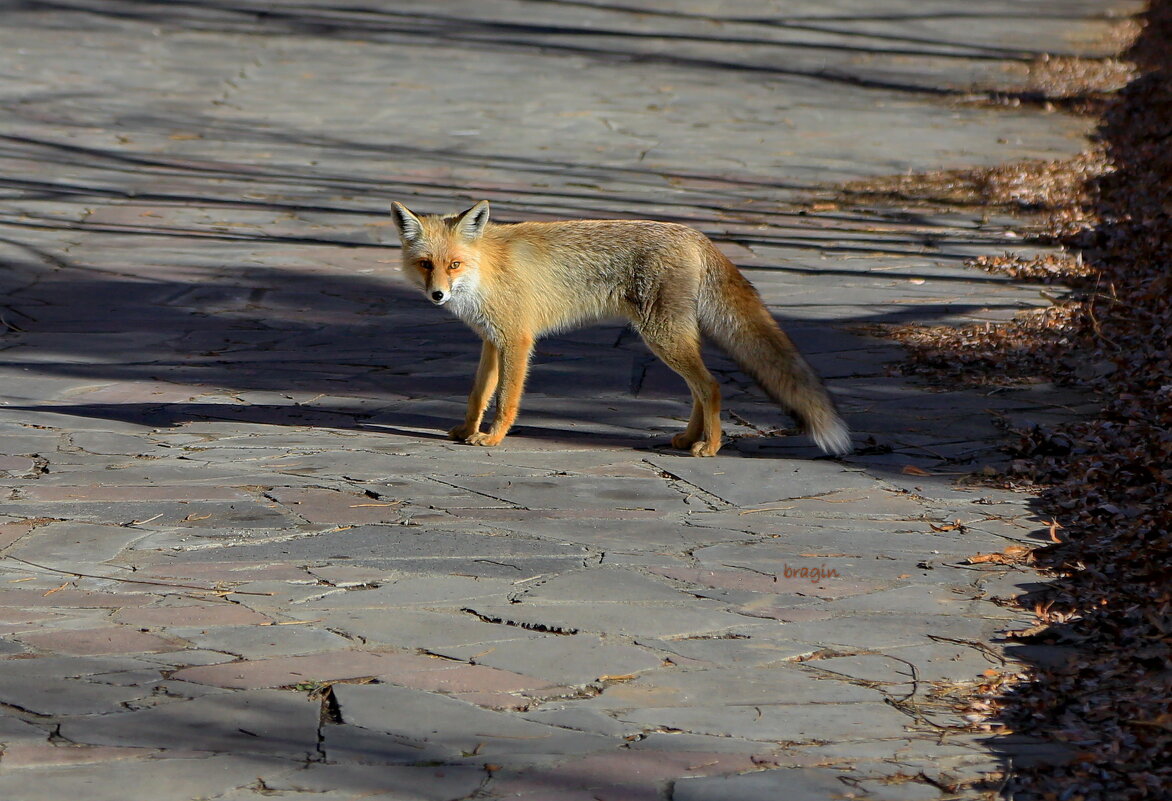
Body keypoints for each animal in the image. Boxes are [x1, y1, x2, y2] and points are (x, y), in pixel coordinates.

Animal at [389, 200, 848, 459]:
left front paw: (493, 437)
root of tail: (694, 232)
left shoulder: (517, 340)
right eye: (426, 264)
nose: (438, 295)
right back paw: (689, 438)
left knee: (712, 386)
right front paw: (467, 430)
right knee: (700, 389)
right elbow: (477, 394)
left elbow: (504, 400)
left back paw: (711, 447)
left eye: (454, 264)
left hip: (661, 335)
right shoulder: (491, 340)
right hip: (669, 338)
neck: (486, 269)